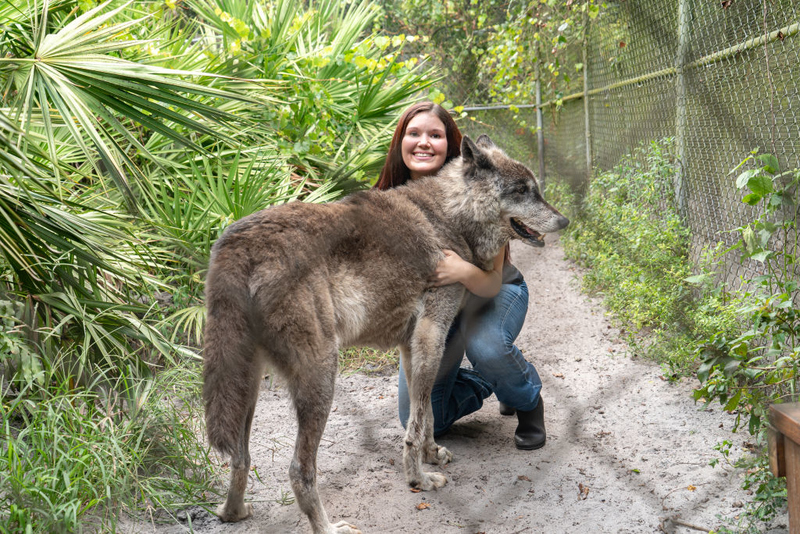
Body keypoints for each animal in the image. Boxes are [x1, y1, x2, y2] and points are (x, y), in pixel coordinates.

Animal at [203, 136, 572, 532]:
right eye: (521, 191)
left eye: (536, 190)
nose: (564, 220)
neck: (447, 217)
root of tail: (238, 244)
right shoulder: (430, 334)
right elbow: (416, 423)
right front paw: (419, 480)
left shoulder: (413, 346)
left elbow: (424, 414)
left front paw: (431, 454)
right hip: (321, 377)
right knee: (299, 469)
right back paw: (328, 527)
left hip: (248, 385)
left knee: (240, 457)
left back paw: (232, 512)